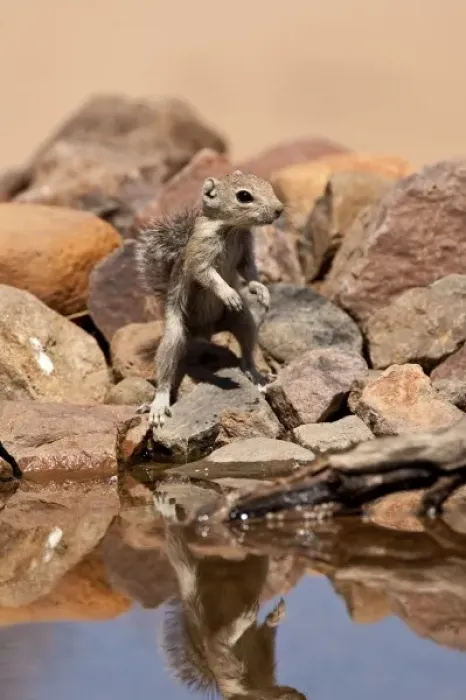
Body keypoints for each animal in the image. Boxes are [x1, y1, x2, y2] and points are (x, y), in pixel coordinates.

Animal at [134, 170, 284, 428]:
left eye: (268, 185)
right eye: (244, 196)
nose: (279, 209)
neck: (232, 227)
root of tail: (203, 332)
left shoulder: (246, 251)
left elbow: (249, 272)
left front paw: (261, 290)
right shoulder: (199, 254)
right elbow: (207, 275)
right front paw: (229, 293)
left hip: (242, 322)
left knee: (246, 352)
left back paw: (256, 376)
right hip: (175, 334)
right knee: (166, 366)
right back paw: (159, 404)